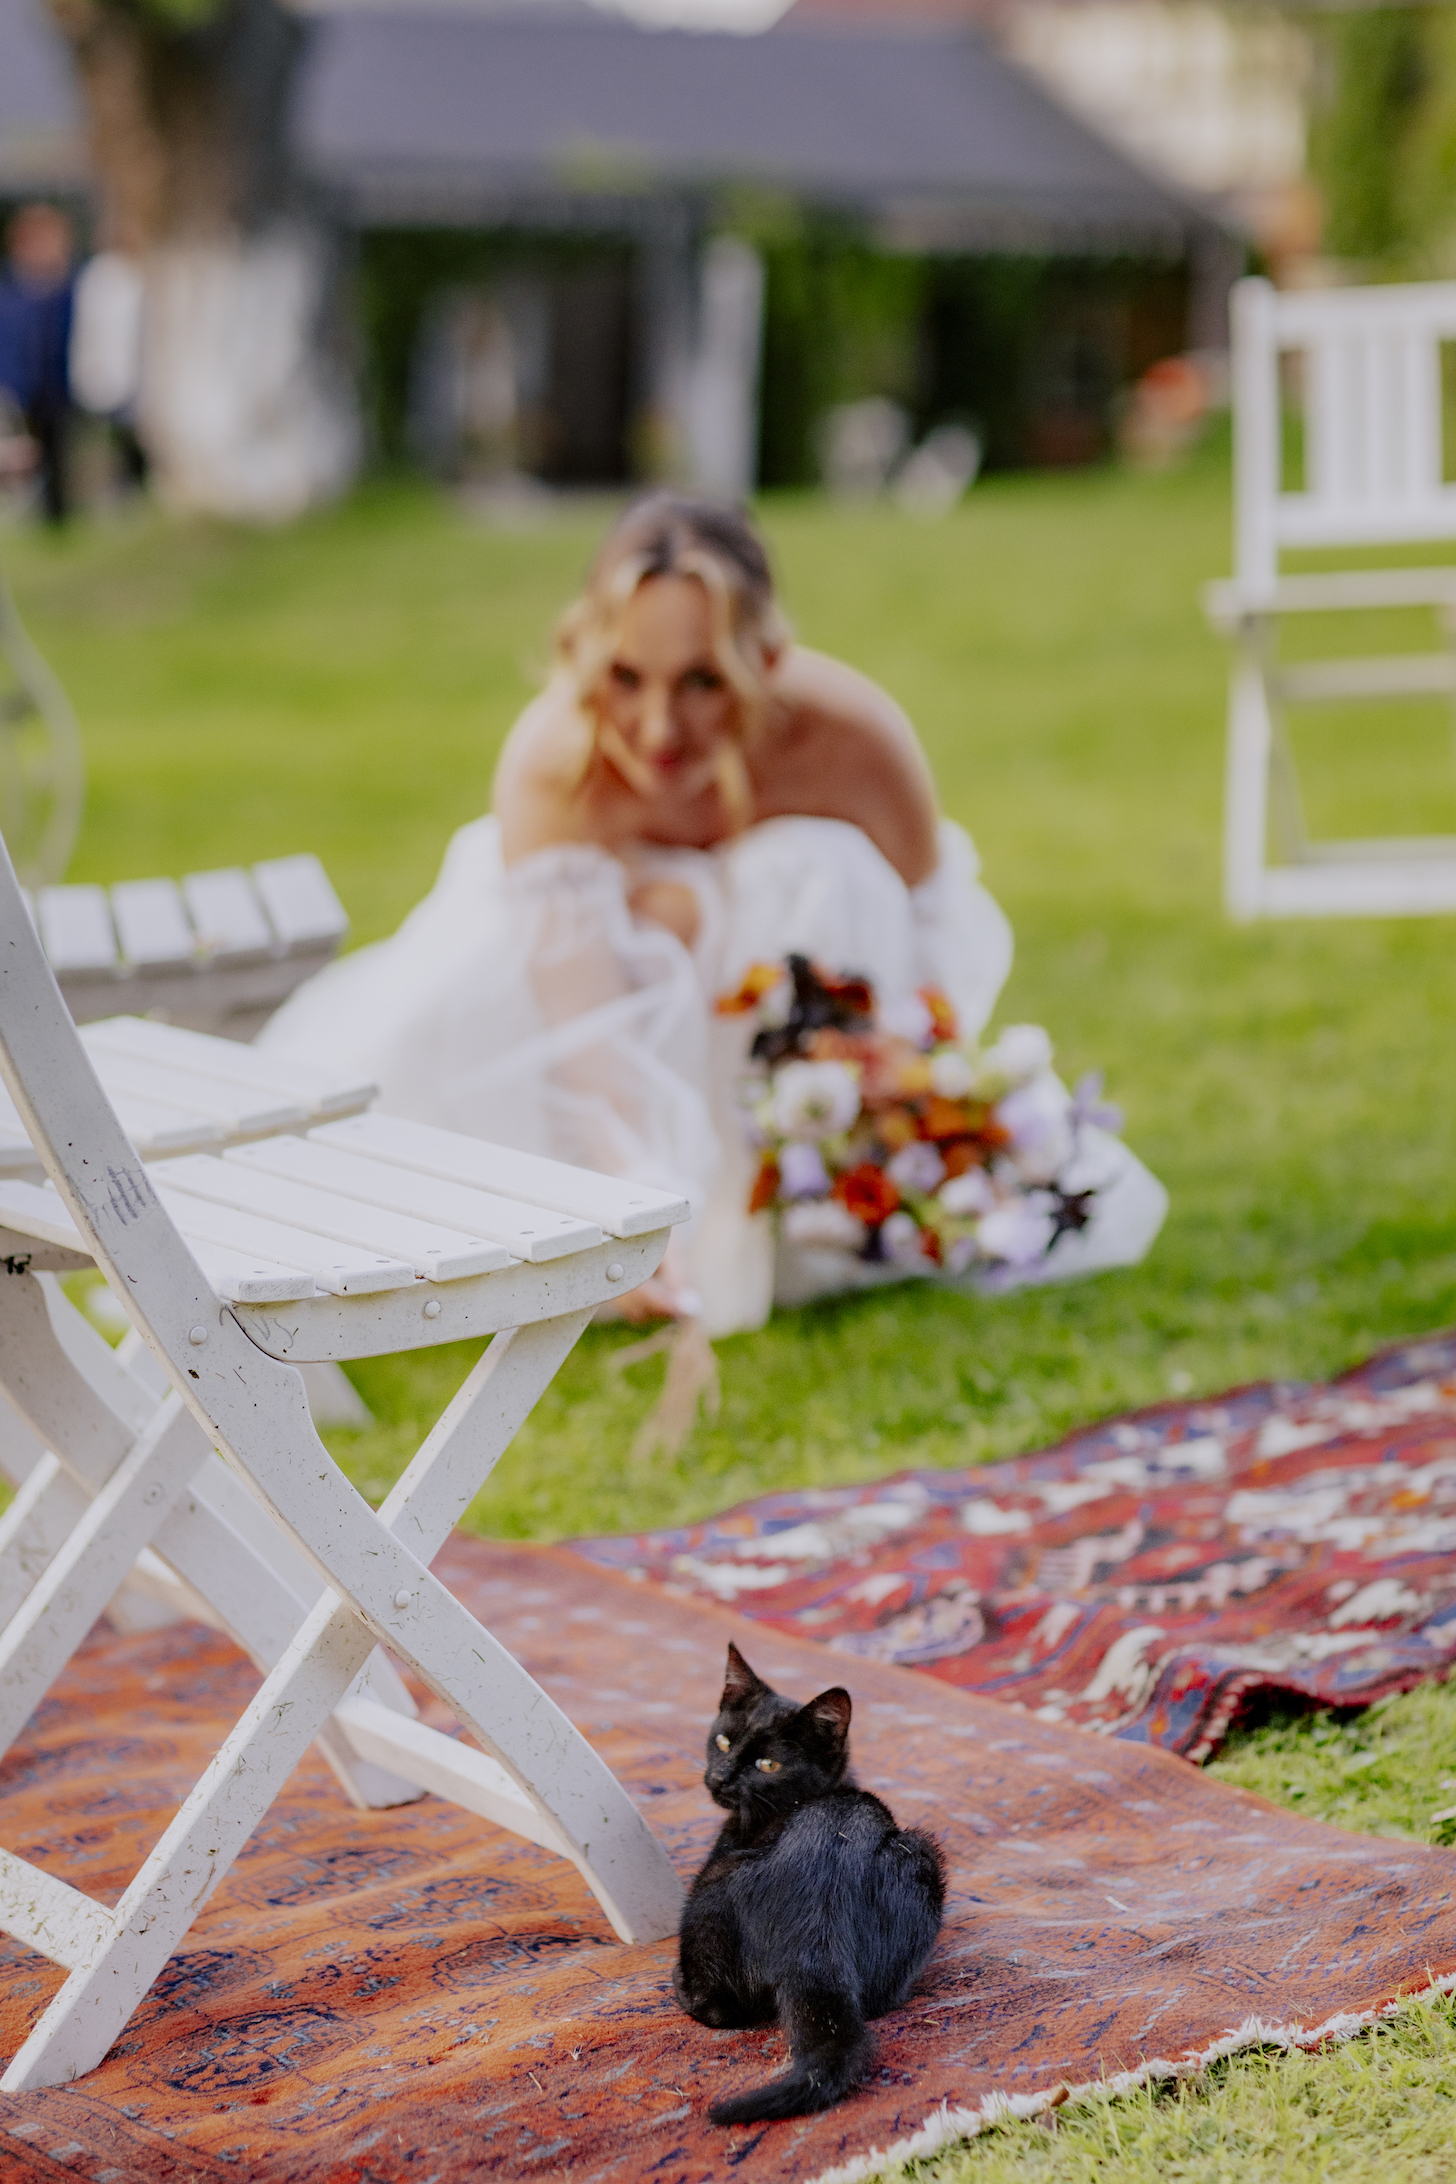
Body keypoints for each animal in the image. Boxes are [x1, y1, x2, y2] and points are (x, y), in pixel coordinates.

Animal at [674, 1641, 946, 2127]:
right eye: (723, 1741)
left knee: (719, 2009)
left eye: (768, 1764)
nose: (719, 1778)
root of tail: (815, 1924)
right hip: (921, 1858)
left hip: (711, 1887)